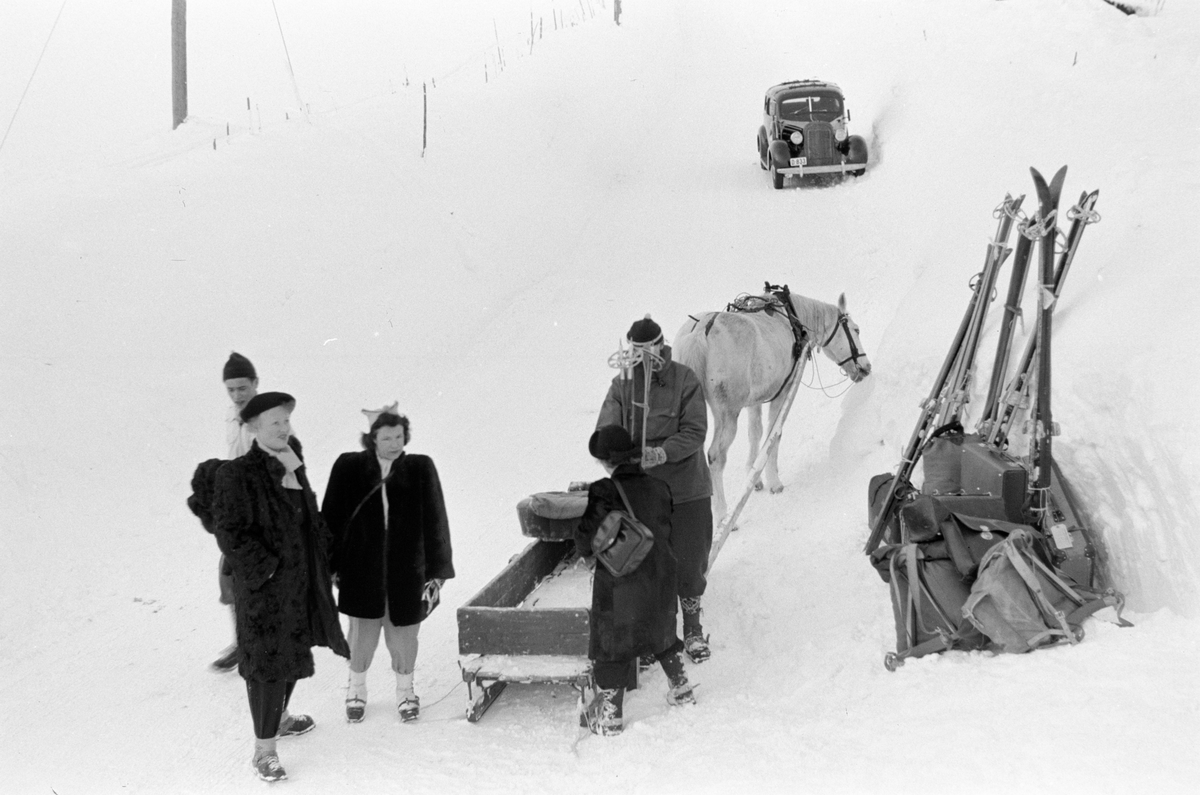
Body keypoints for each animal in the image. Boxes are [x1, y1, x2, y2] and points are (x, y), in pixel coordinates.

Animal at [676, 291, 873, 523]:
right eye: (856, 330)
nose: (866, 367)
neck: (794, 318)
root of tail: (698, 334)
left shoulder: (755, 401)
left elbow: (755, 432)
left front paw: (755, 477)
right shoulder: (783, 391)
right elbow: (774, 433)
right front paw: (774, 482)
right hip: (727, 412)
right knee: (716, 456)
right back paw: (723, 515)